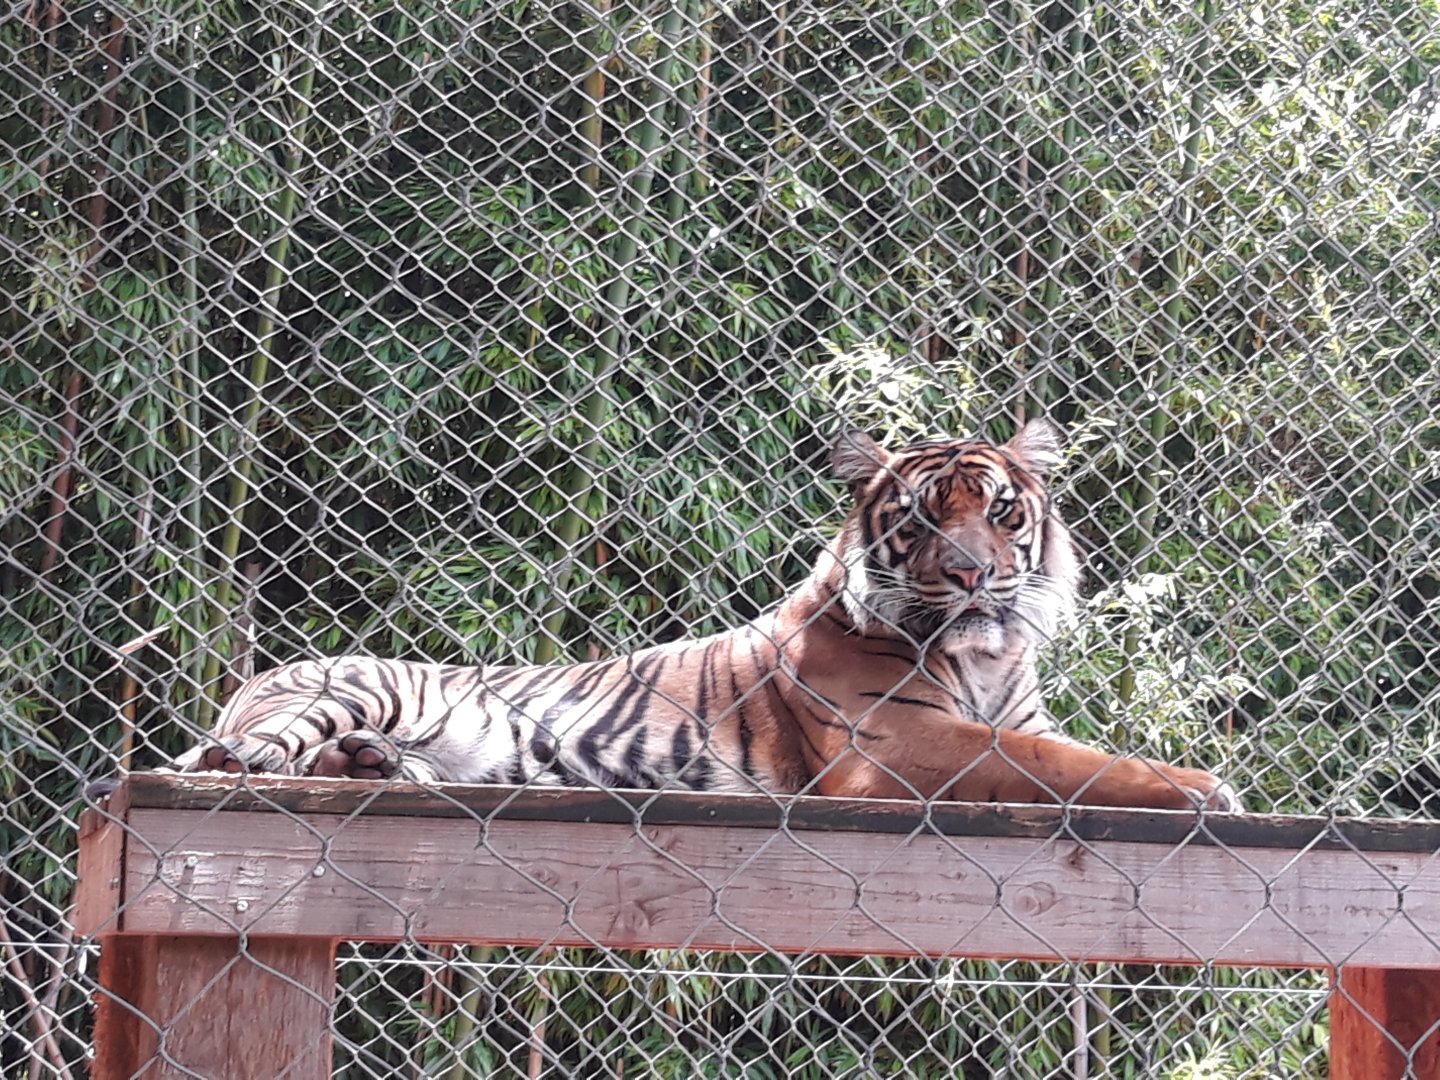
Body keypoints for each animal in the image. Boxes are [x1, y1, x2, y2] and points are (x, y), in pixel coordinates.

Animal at [166, 420, 1238, 812]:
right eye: (926, 518)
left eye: (1001, 512)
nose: (973, 574)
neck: (986, 656)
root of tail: (253, 681)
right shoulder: (895, 741)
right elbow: (1062, 763)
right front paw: (1206, 789)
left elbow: (1062, 747)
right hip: (357, 685)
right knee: (229, 757)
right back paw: (272, 756)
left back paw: (372, 768)